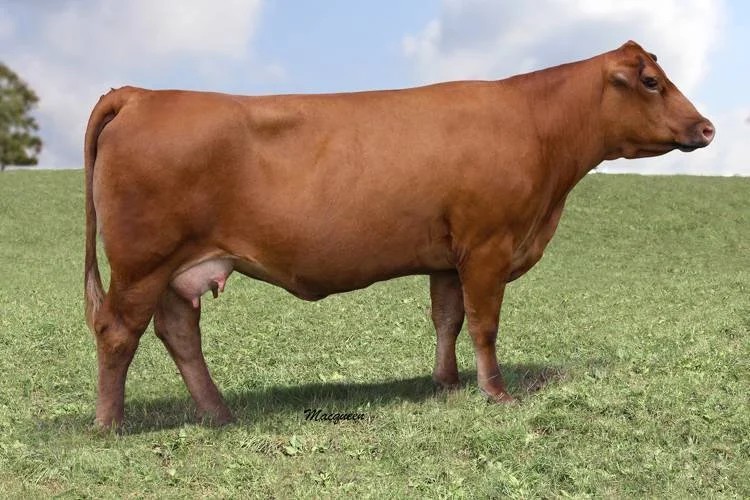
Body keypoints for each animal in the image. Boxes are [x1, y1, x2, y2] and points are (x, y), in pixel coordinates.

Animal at [83, 41, 714, 428]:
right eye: (651, 81)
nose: (707, 127)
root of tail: (142, 93)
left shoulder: (449, 256)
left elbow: (448, 318)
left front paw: (447, 383)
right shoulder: (488, 245)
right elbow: (484, 323)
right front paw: (496, 393)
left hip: (175, 268)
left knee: (177, 332)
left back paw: (218, 413)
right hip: (142, 263)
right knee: (118, 332)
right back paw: (110, 425)